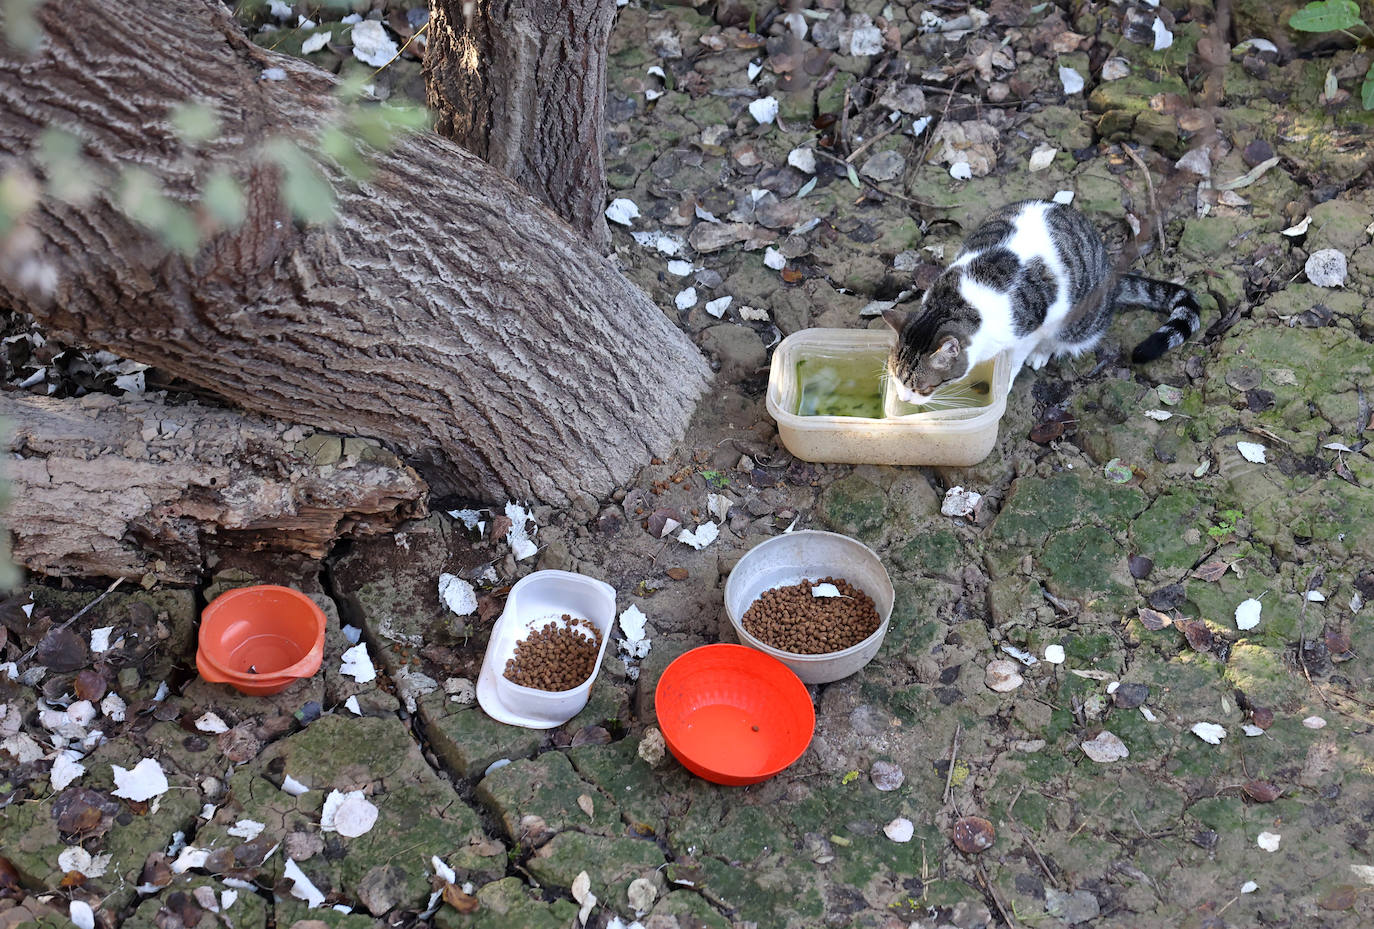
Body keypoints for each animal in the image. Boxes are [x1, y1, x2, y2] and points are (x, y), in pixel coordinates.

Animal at [884, 199, 1198, 404]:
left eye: (922, 387)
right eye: (895, 377)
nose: (904, 399)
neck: (955, 302)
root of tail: (1112, 274)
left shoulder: (1028, 331)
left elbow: (1016, 359)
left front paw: (1007, 381)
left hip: (1077, 321)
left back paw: (1044, 353)